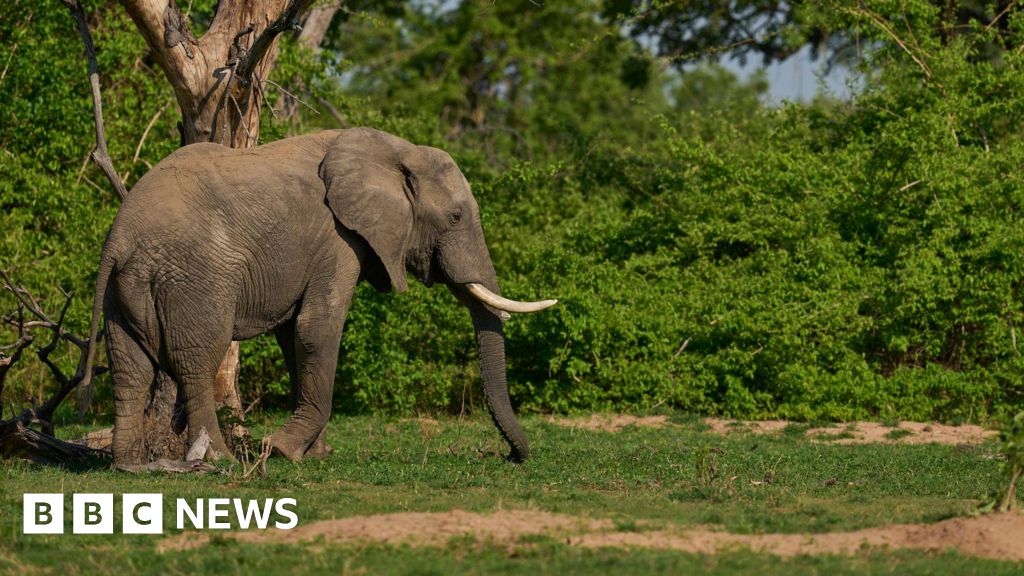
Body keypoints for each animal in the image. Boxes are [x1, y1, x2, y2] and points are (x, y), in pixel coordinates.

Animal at [81, 127, 556, 465]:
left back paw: (127, 465)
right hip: (194, 279)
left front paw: (313, 454)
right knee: (197, 362)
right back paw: (221, 459)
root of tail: (117, 240)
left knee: (130, 368)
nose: (508, 457)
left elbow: (294, 336)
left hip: (123, 291)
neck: (395, 150)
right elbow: (317, 329)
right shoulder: (338, 239)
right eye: (455, 216)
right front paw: (283, 451)